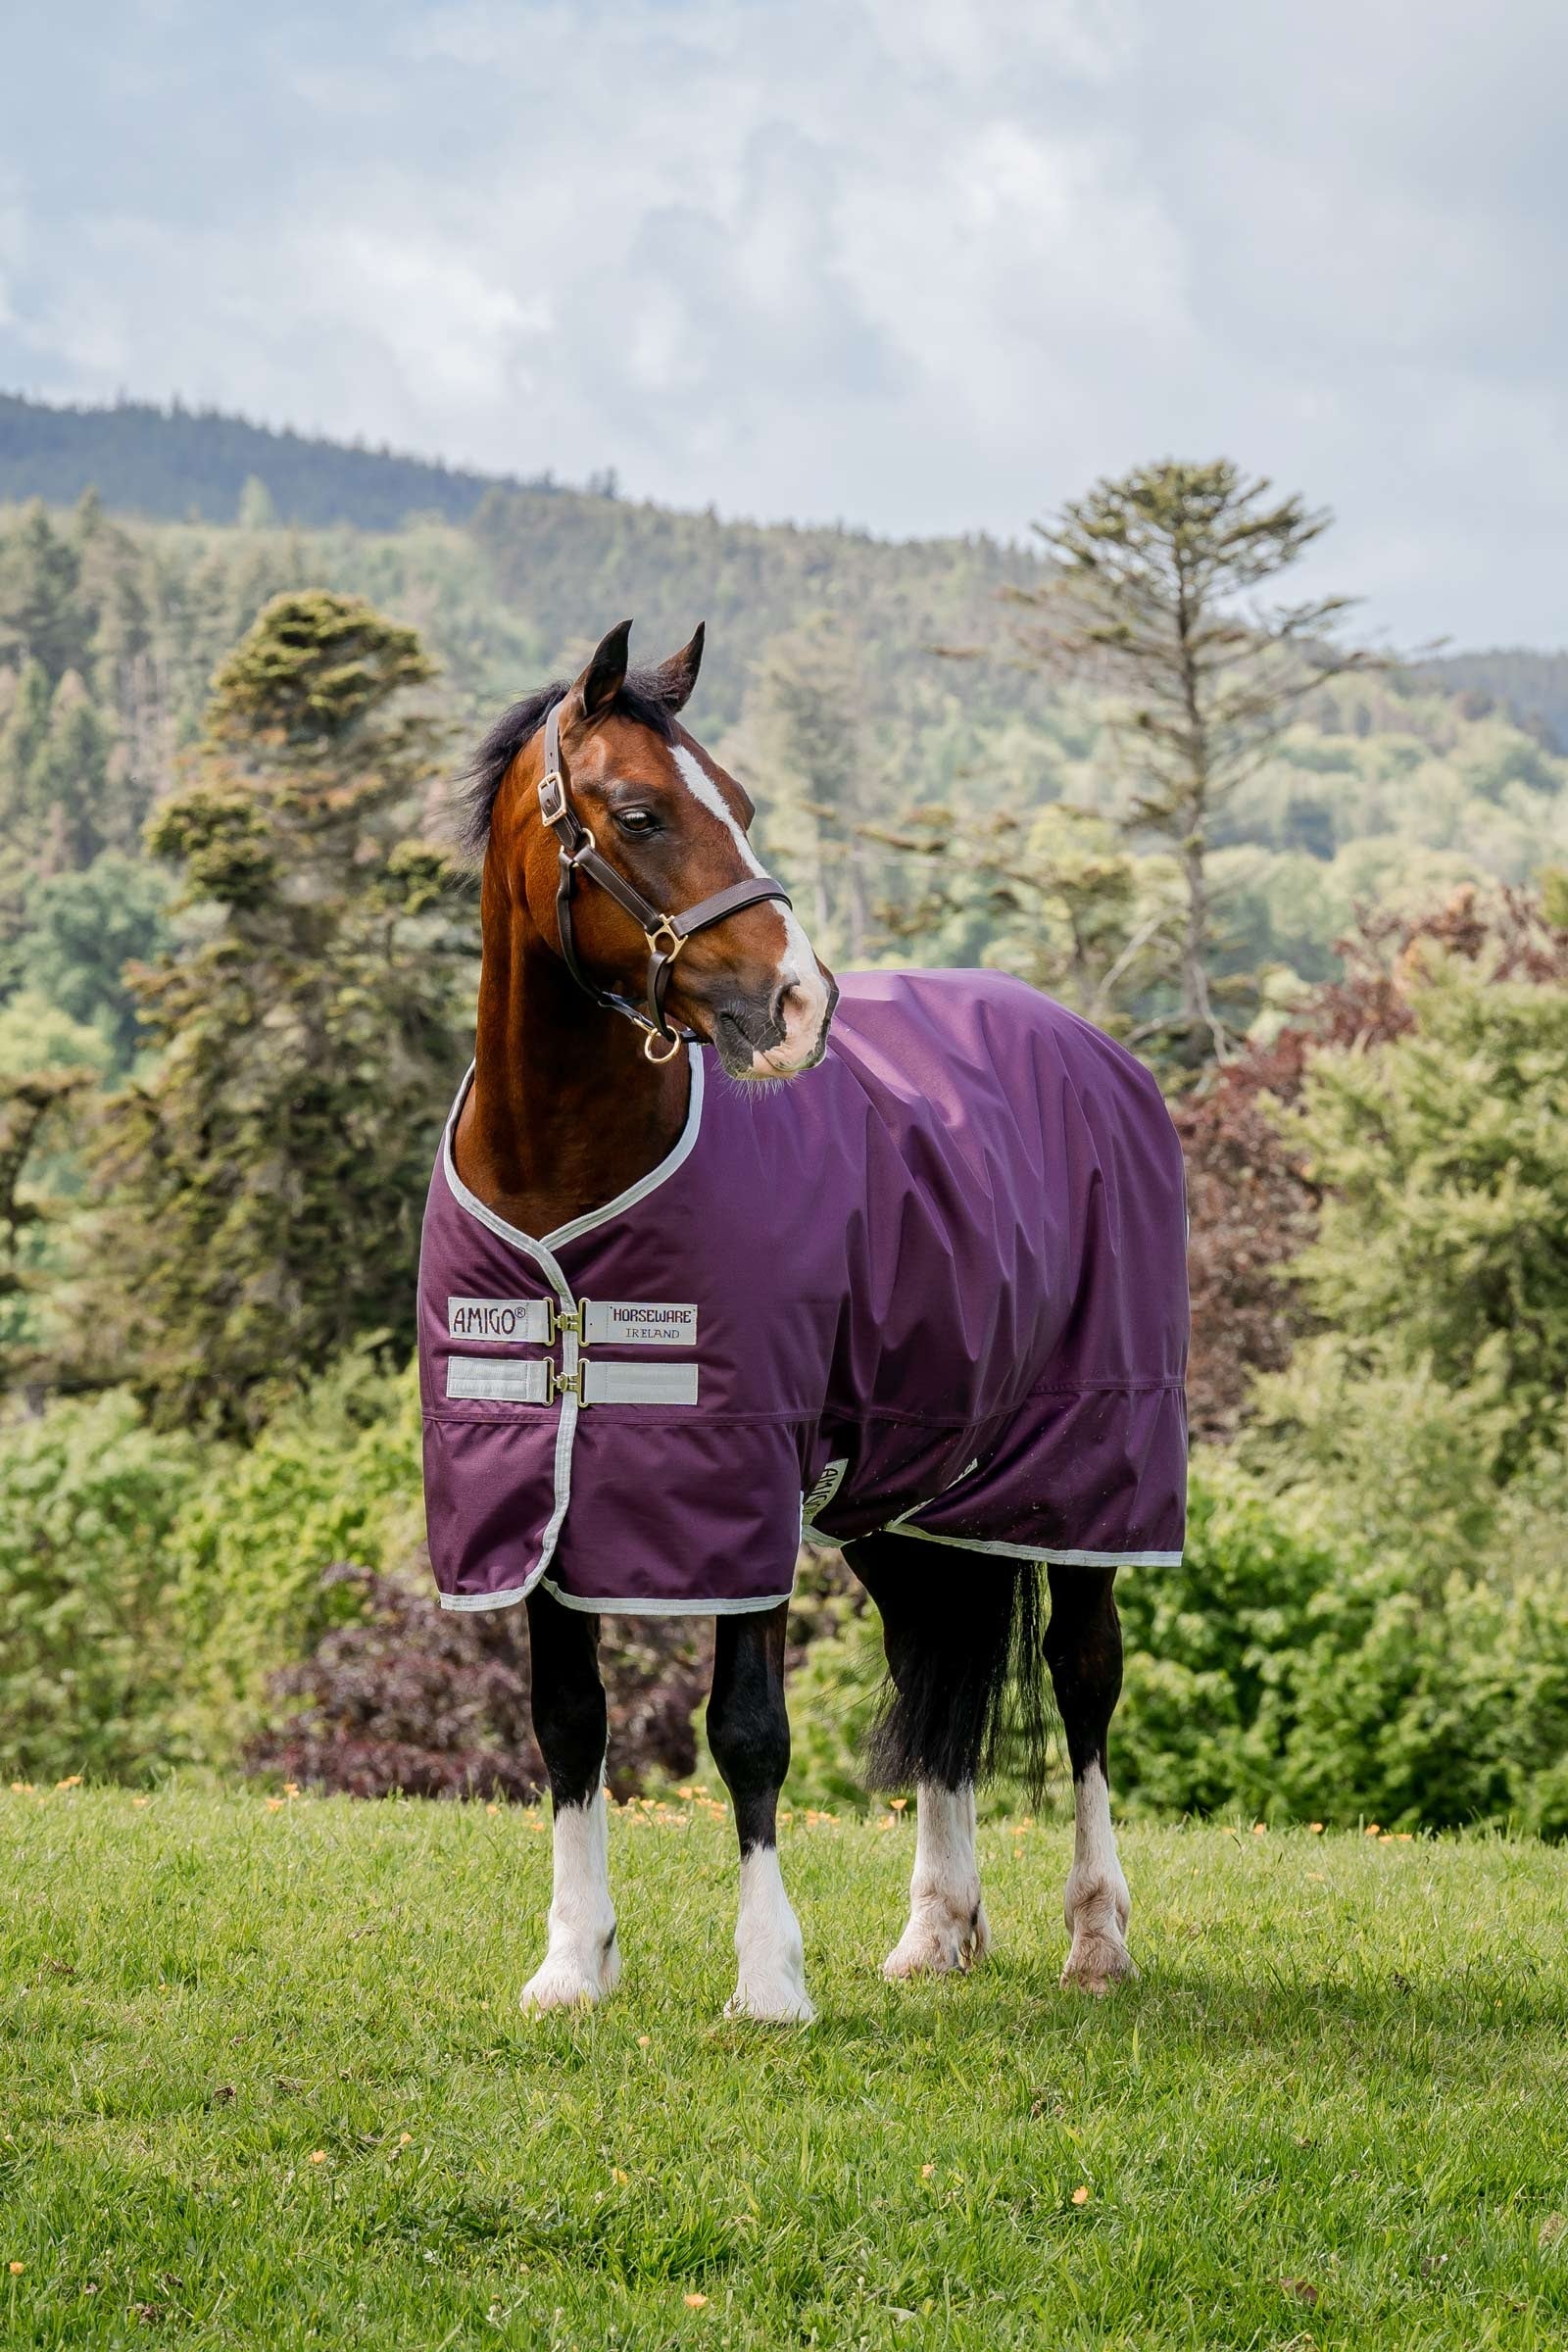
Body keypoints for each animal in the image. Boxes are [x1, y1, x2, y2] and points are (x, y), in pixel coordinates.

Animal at [419, 618, 1188, 2021]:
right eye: (639, 811)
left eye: (742, 800)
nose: (800, 1006)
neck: (568, 1185)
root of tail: (1095, 1051)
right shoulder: (539, 1495)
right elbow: (568, 1723)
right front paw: (571, 1962)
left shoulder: (744, 1483)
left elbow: (748, 1732)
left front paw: (768, 1980)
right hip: (905, 1493)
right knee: (938, 1668)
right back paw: (936, 1929)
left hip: (1094, 1477)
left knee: (1085, 1679)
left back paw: (1096, 1938)